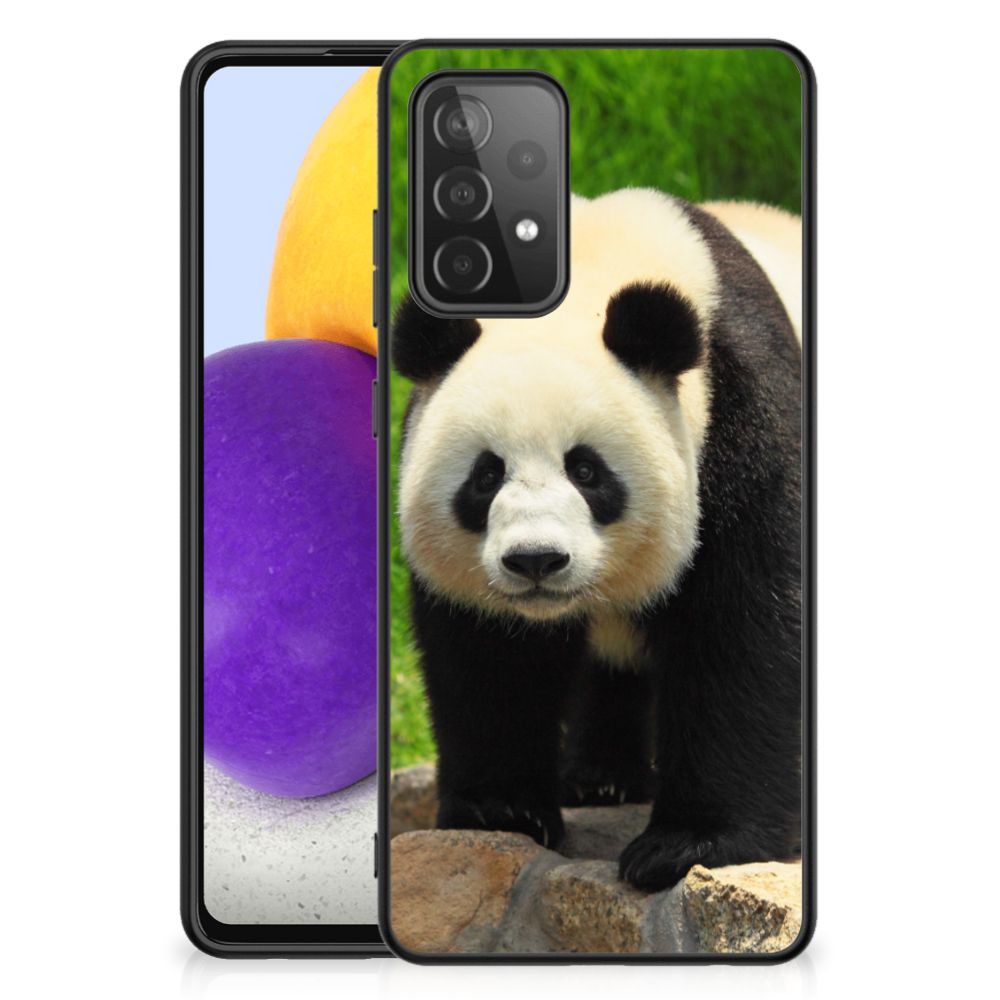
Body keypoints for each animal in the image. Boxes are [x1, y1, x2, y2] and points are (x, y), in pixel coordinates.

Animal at [392, 188, 802, 891]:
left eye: (586, 470)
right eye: (485, 475)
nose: (536, 561)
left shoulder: (744, 417)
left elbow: (744, 630)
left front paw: (689, 844)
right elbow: (489, 656)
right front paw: (501, 811)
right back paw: (602, 780)